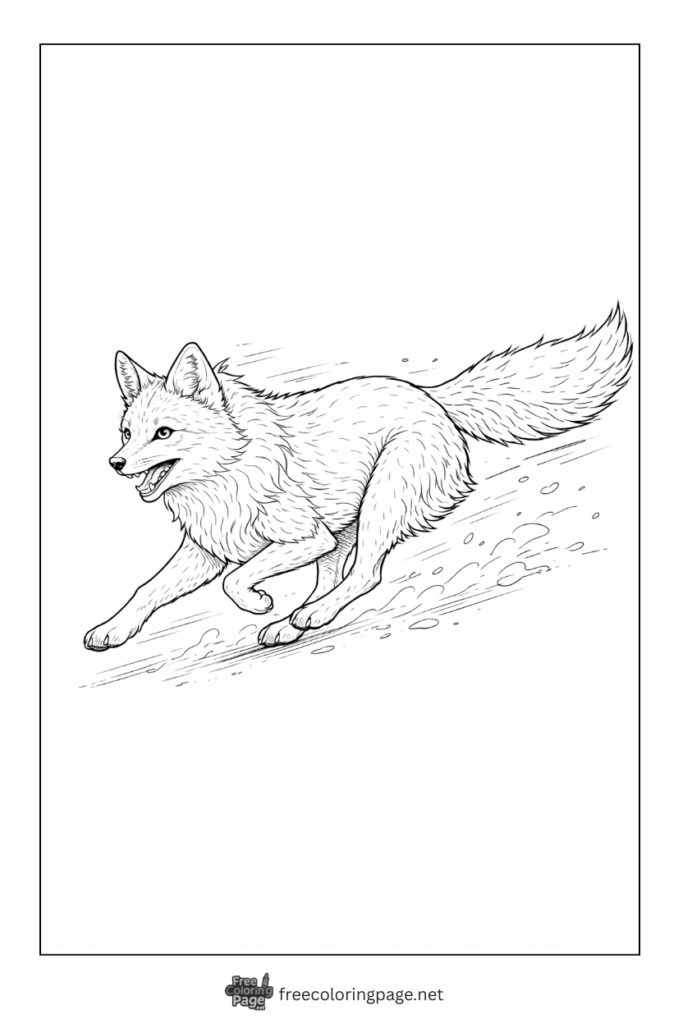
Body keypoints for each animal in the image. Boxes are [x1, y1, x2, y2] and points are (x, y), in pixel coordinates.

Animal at [84, 306, 631, 652]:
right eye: (127, 433)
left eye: (164, 433)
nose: (115, 464)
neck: (229, 471)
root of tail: (431, 395)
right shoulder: (207, 551)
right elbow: (146, 590)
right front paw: (112, 631)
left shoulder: (302, 537)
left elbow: (237, 580)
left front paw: (259, 603)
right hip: (345, 527)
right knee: (338, 577)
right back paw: (292, 625)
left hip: (380, 503)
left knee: (367, 573)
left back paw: (305, 616)